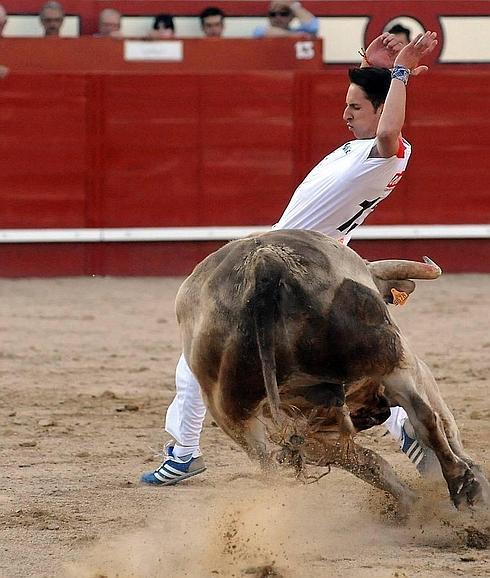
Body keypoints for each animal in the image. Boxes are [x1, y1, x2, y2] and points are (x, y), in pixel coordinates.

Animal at [177, 227, 490, 506]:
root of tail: (265, 262)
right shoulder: (415, 366)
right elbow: (445, 422)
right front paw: (473, 471)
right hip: (390, 357)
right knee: (424, 418)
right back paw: (462, 486)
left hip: (242, 419)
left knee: (332, 460)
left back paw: (416, 502)